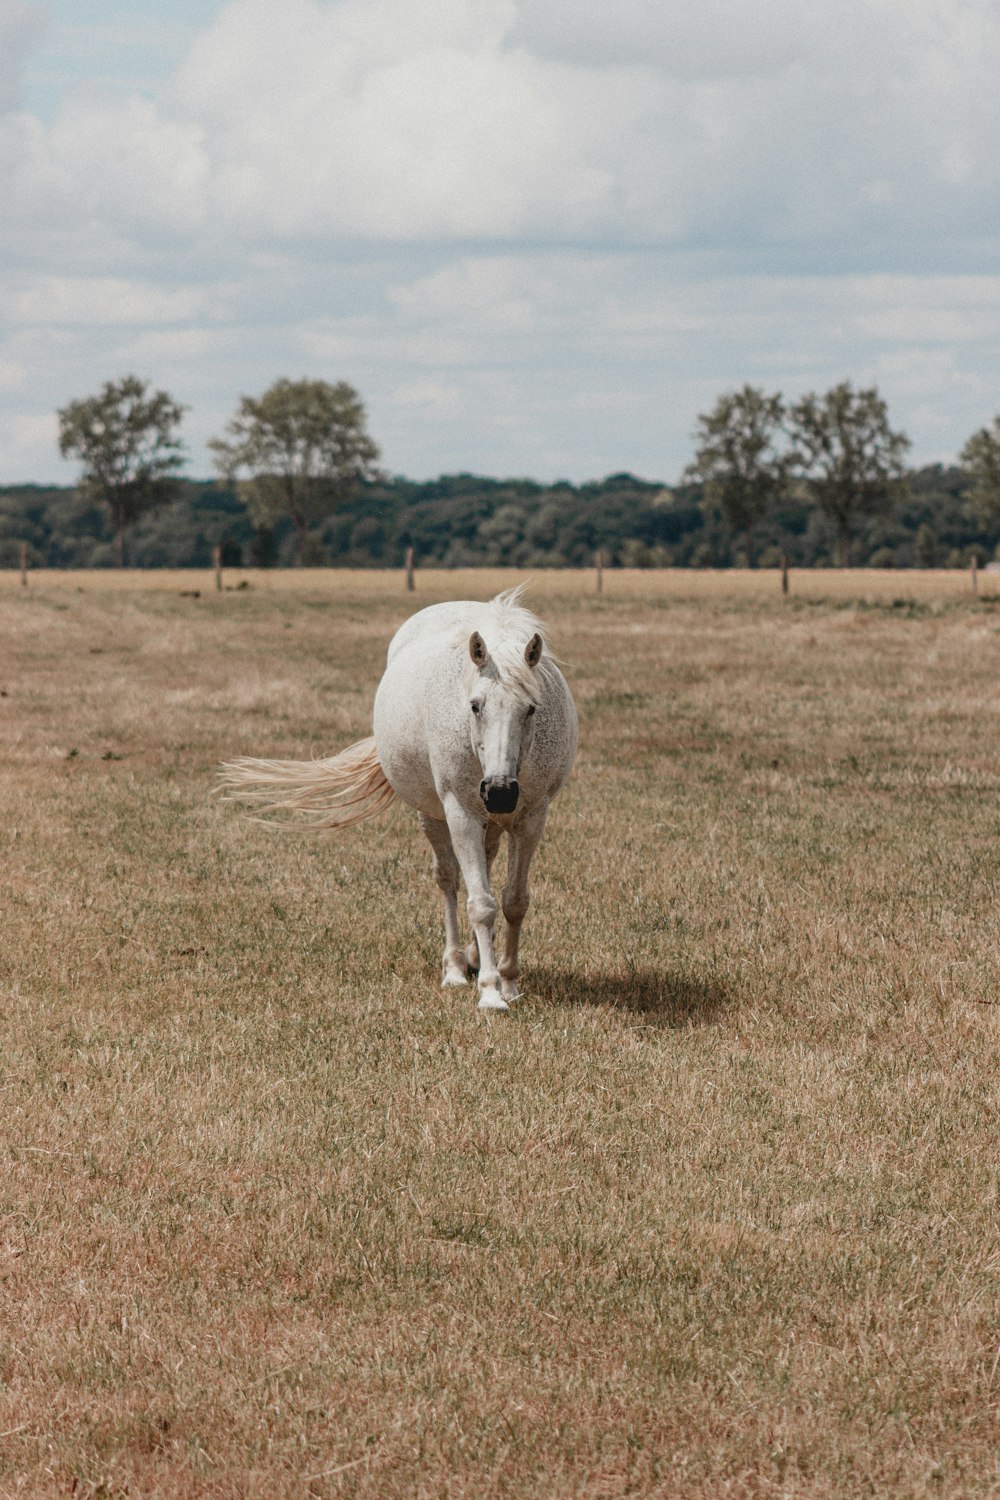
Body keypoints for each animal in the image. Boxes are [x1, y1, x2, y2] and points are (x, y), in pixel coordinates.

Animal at [218, 591, 578, 1014]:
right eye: (475, 705)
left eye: (532, 708)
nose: (501, 791)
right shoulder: (461, 812)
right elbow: (481, 905)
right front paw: (490, 993)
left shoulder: (532, 818)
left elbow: (514, 901)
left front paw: (508, 982)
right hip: (435, 814)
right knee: (449, 879)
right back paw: (456, 968)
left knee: (484, 870)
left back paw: (475, 957)